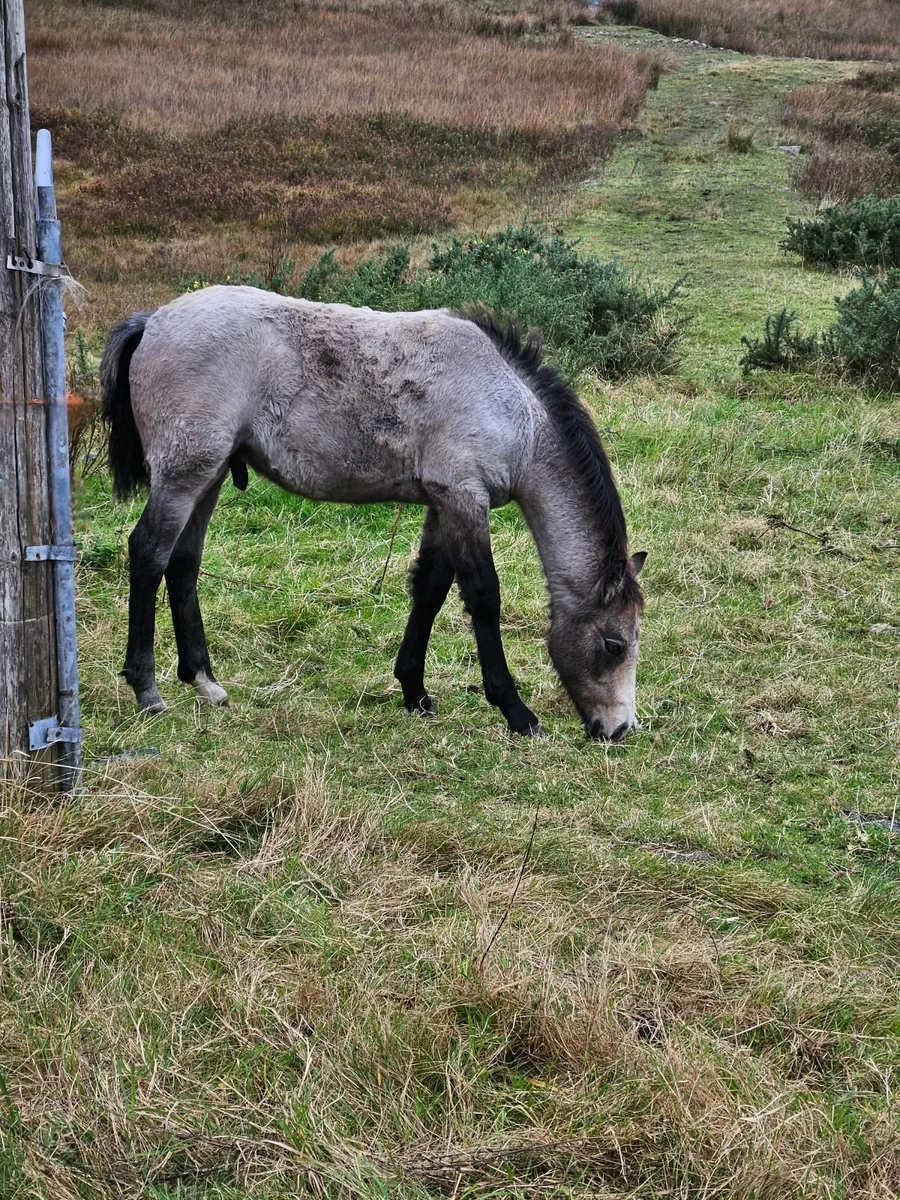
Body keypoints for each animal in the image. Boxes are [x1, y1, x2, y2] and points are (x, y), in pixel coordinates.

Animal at [100, 285, 646, 740]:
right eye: (614, 645)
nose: (619, 729)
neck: (511, 411)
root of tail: (154, 320)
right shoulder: (464, 498)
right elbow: (483, 597)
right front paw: (516, 712)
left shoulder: (442, 505)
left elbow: (429, 590)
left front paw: (414, 692)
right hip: (183, 475)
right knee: (148, 553)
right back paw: (147, 689)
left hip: (209, 475)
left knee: (183, 564)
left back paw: (204, 682)